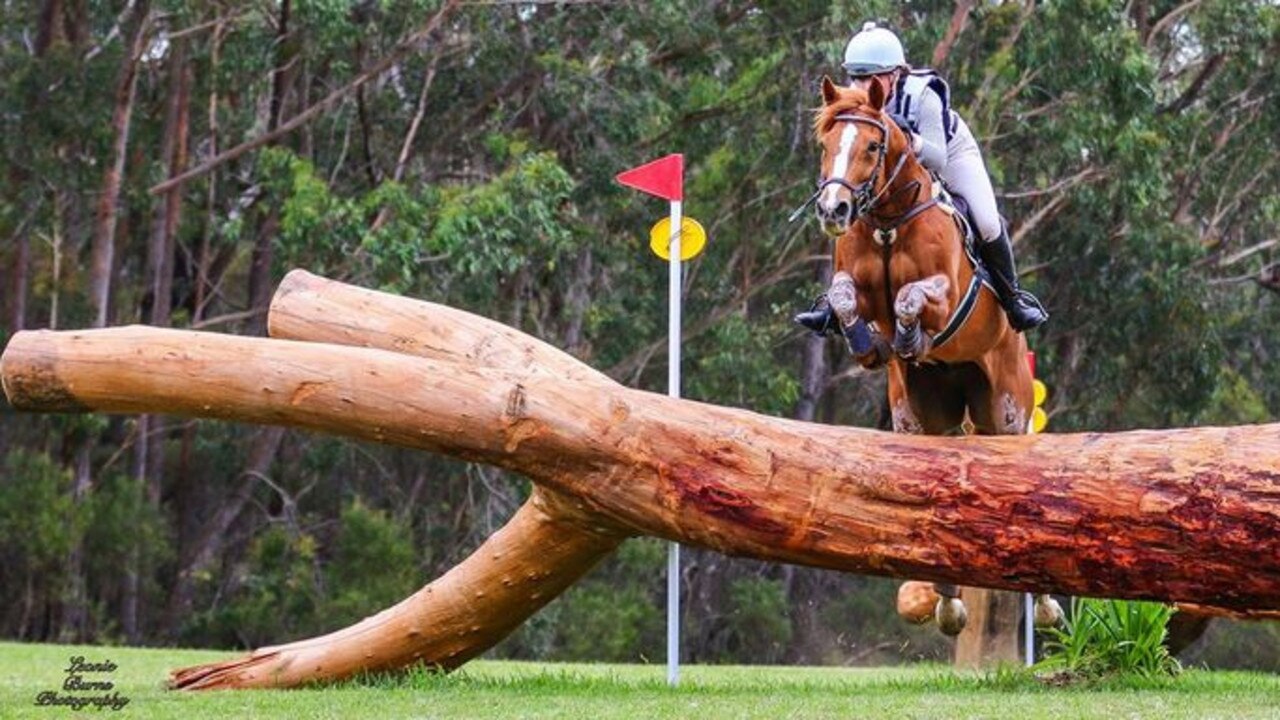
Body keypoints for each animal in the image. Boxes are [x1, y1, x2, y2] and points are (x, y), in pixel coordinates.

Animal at [808, 75, 1059, 635]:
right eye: (826, 144)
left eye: (873, 147)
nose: (834, 211)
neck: (886, 221)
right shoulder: (851, 284)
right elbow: (843, 299)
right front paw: (872, 347)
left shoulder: (946, 296)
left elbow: (911, 298)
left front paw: (907, 339)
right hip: (922, 418)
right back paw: (945, 604)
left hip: (1006, 412)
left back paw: (1047, 605)